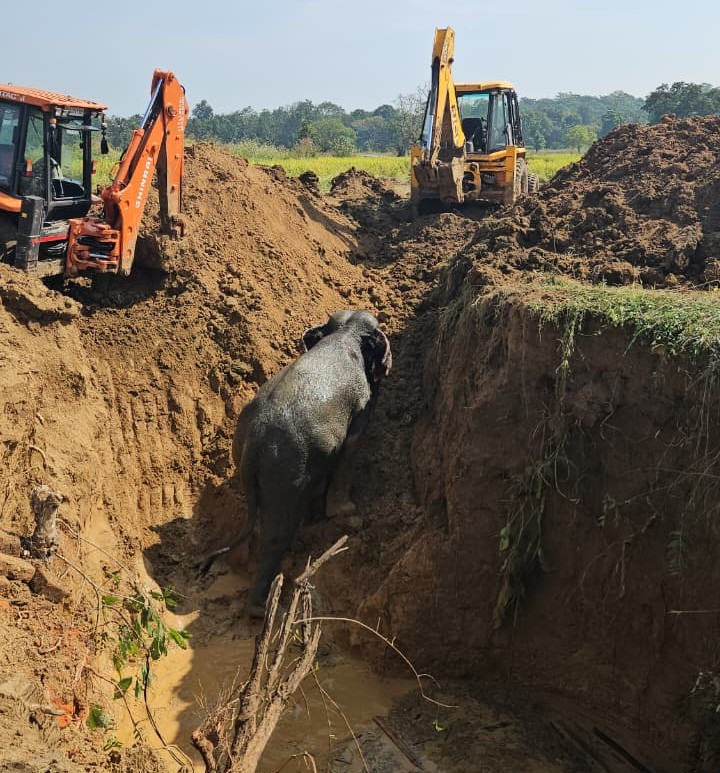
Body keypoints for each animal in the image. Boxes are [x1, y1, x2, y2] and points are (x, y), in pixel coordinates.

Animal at [201, 310, 392, 617]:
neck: (345, 333)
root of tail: (254, 442)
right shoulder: (359, 407)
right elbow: (350, 447)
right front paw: (347, 516)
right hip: (285, 471)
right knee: (277, 535)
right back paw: (262, 608)